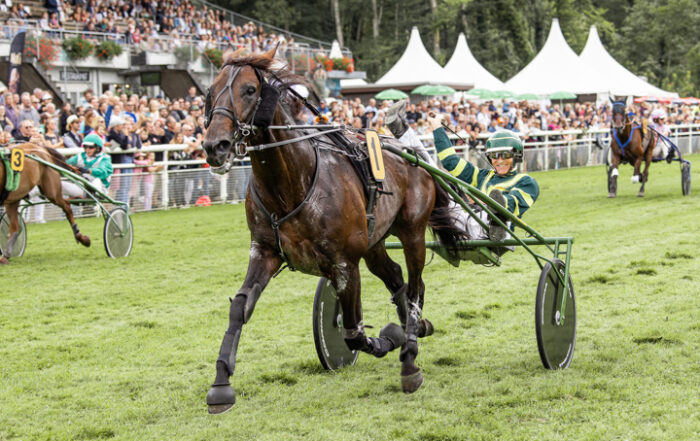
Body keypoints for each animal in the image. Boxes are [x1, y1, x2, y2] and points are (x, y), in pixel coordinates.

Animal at [200, 46, 468, 410]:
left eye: (250, 90)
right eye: (211, 91)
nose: (216, 146)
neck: (291, 184)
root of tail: (412, 154)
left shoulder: (343, 263)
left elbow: (354, 332)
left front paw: (389, 339)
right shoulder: (264, 251)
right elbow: (240, 308)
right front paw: (221, 383)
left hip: (412, 232)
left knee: (414, 287)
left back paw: (410, 353)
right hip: (374, 243)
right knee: (397, 277)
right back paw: (417, 328)